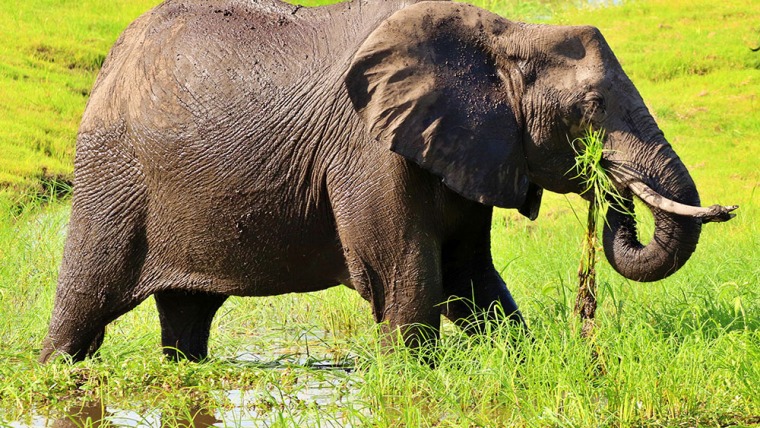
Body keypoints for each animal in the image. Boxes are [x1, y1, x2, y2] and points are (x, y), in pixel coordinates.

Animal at [40, 0, 736, 364]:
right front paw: (412, 377)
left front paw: (522, 363)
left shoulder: (467, 146)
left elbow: (470, 278)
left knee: (186, 318)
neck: (505, 32)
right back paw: (52, 377)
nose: (607, 188)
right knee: (85, 302)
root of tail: (112, 58)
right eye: (590, 109)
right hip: (113, 172)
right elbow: (409, 278)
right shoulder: (370, 152)